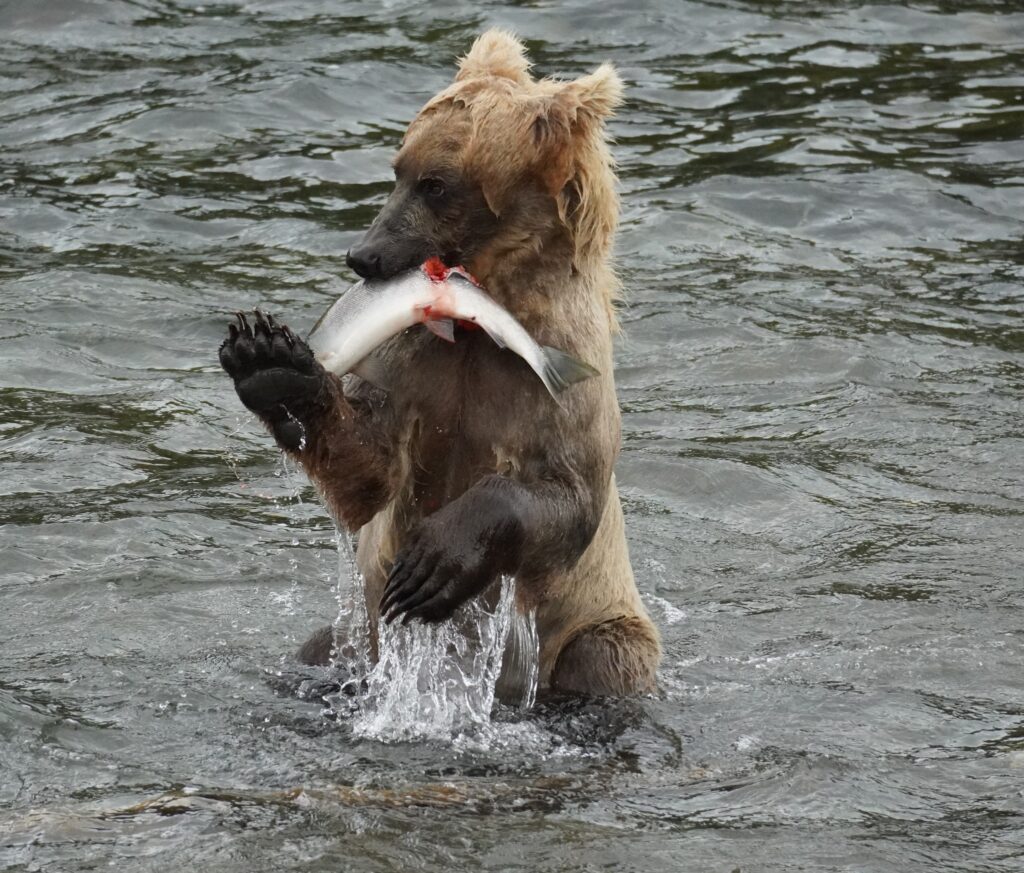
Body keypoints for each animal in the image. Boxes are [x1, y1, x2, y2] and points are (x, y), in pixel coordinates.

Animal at [218, 30, 660, 698]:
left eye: (437, 184)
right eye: (397, 171)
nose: (364, 255)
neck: (481, 314)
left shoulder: (556, 374)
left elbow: (566, 497)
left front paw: (433, 564)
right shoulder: (416, 365)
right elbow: (368, 471)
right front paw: (269, 359)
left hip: (595, 625)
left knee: (603, 657)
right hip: (355, 640)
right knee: (318, 647)